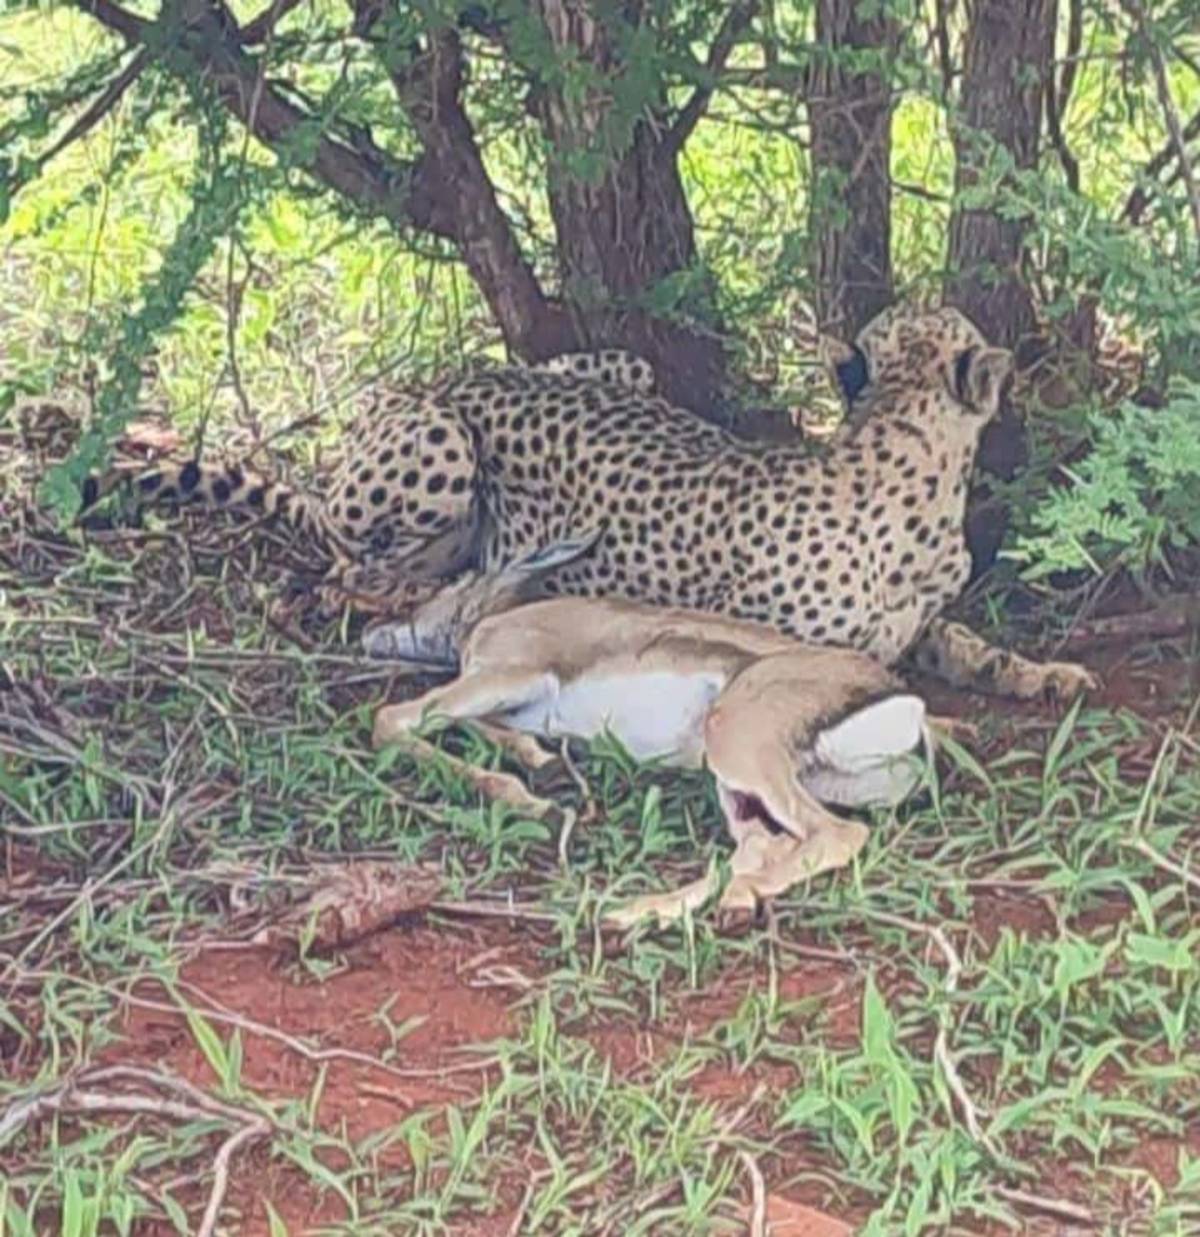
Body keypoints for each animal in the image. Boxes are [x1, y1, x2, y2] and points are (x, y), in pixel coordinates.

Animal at [79, 306, 1098, 699]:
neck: (899, 457)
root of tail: (433, 376)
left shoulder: (918, 617)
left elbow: (961, 641)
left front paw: (1043, 673)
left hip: (625, 367)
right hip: (437, 451)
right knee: (349, 575)